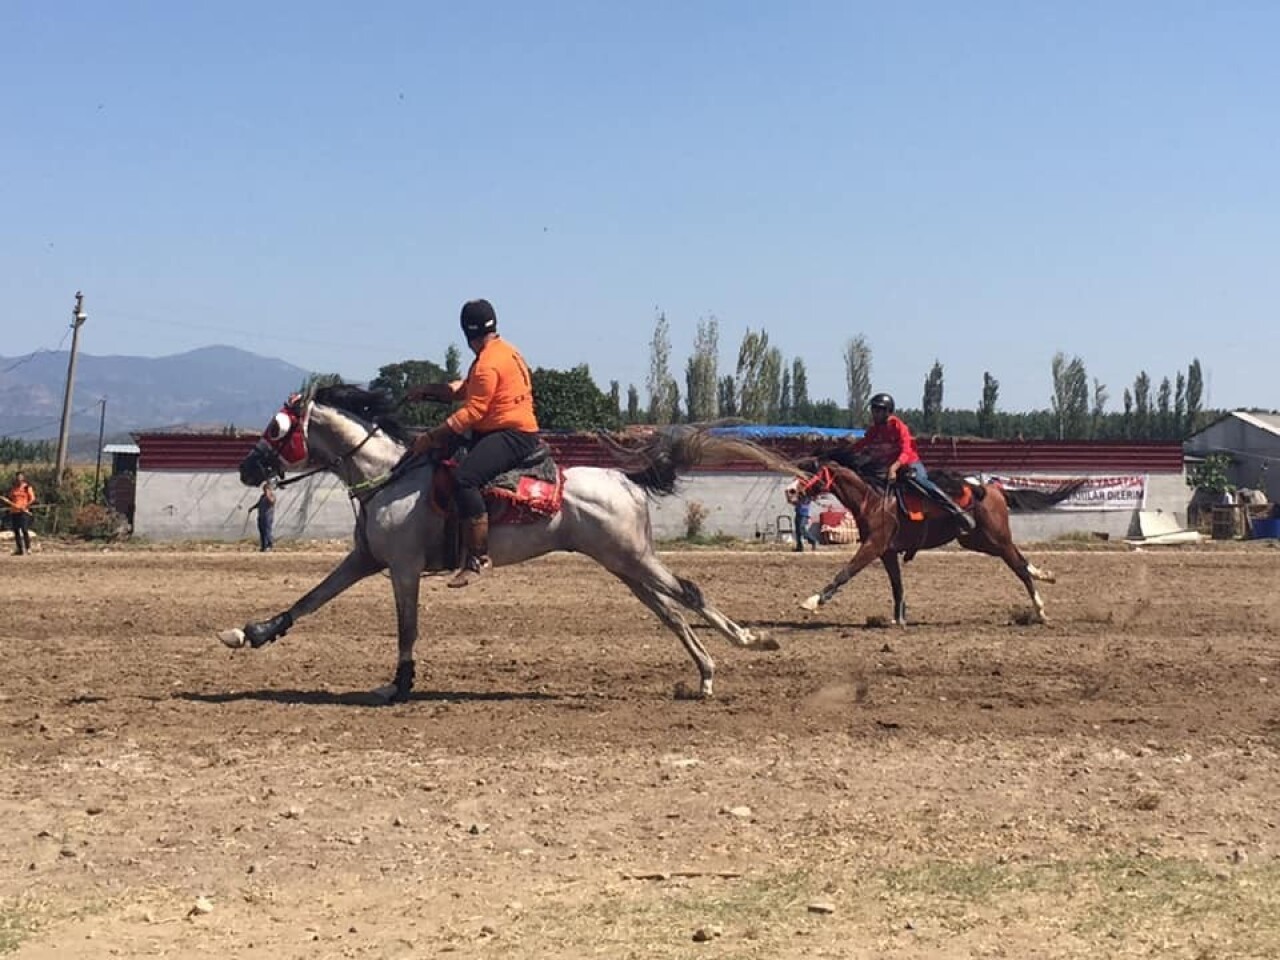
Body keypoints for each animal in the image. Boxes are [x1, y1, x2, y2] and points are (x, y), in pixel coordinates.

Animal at [224, 386, 773, 706]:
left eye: (276, 427)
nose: (247, 468)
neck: (389, 476)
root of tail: (626, 478)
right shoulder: (365, 559)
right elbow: (310, 599)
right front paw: (252, 632)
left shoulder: (402, 567)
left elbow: (407, 627)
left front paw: (399, 684)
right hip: (625, 565)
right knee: (672, 613)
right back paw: (704, 674)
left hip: (633, 559)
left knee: (689, 592)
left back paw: (751, 640)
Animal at [778, 455, 1090, 627]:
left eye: (810, 473)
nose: (790, 492)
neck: (873, 499)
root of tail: (994, 489)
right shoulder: (887, 552)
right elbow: (897, 585)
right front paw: (899, 617)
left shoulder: (874, 546)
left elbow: (846, 572)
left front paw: (813, 601)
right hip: (979, 541)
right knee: (1021, 560)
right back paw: (1045, 575)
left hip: (996, 539)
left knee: (1020, 569)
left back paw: (1041, 610)